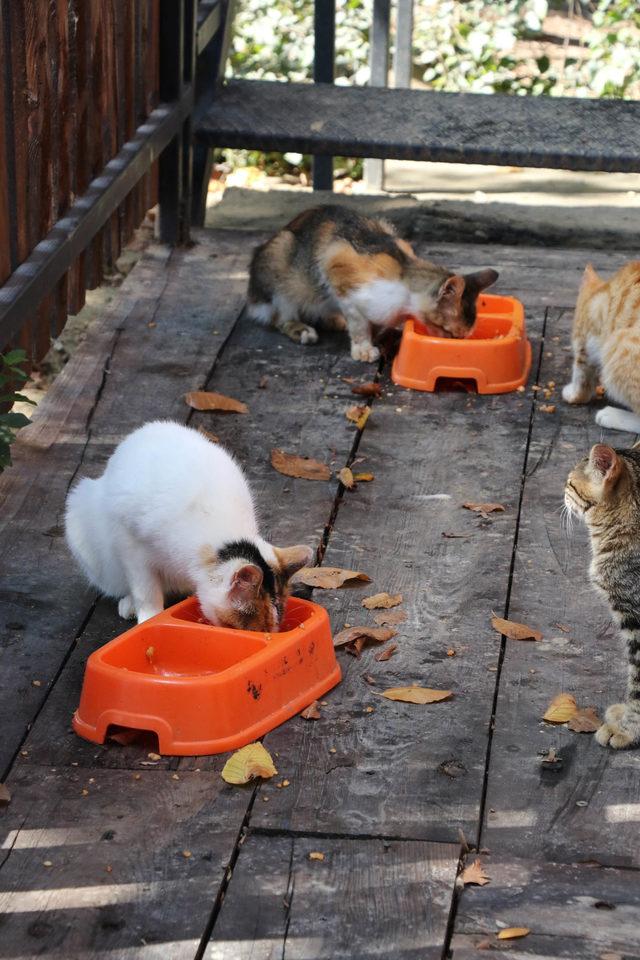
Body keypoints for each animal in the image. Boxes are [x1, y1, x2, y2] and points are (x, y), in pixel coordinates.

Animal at [246, 204, 500, 362]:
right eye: (451, 332)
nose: (456, 345)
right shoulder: (338, 264)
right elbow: (357, 319)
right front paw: (363, 348)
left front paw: (375, 335)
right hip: (280, 260)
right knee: (280, 316)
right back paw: (301, 329)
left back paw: (334, 320)